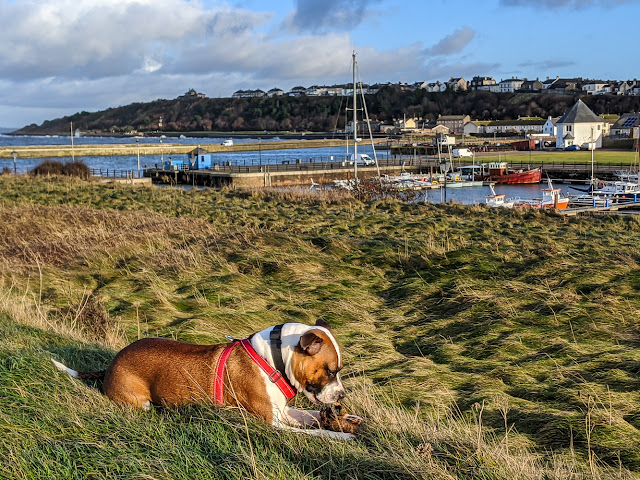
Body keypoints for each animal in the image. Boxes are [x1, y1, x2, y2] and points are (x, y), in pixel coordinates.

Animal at [50, 320, 360, 440]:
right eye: (331, 370)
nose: (342, 396)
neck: (275, 360)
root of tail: (111, 364)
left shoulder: (283, 411)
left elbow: (310, 417)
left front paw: (344, 419)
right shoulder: (272, 424)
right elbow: (315, 432)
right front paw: (339, 435)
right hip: (138, 401)